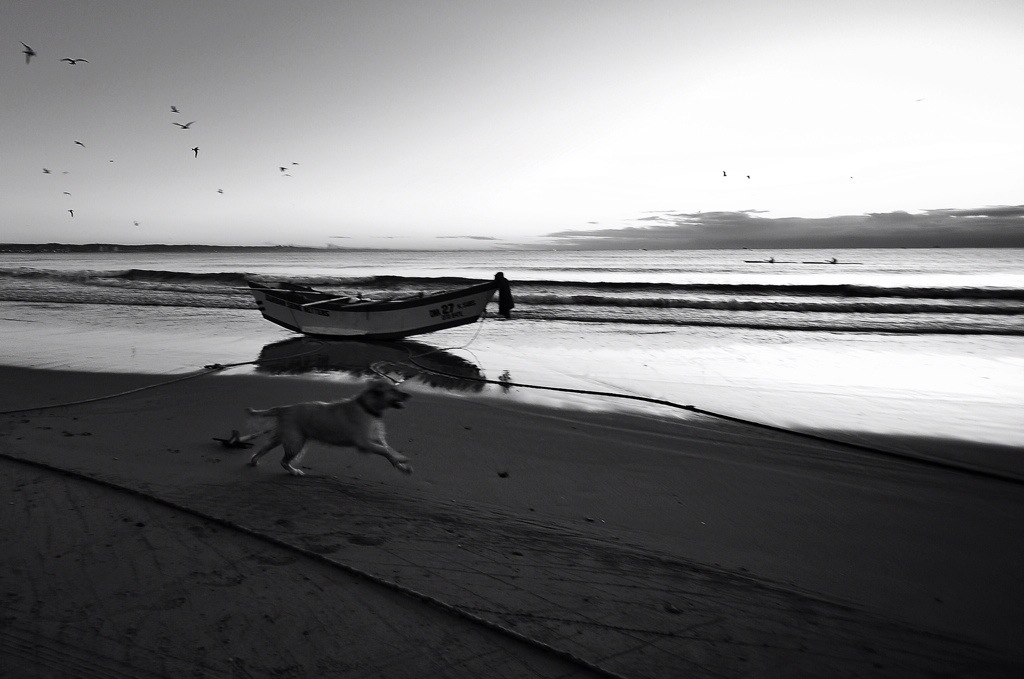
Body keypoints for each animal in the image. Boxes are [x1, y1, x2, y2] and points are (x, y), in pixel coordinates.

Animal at [245, 379, 413, 476]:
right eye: (392, 390)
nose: (408, 395)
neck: (367, 408)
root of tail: (284, 409)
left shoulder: (376, 439)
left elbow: (388, 451)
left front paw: (402, 466)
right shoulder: (364, 443)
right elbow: (385, 450)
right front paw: (402, 459)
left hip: (283, 437)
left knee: (262, 449)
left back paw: (254, 462)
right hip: (296, 442)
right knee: (283, 461)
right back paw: (294, 472)